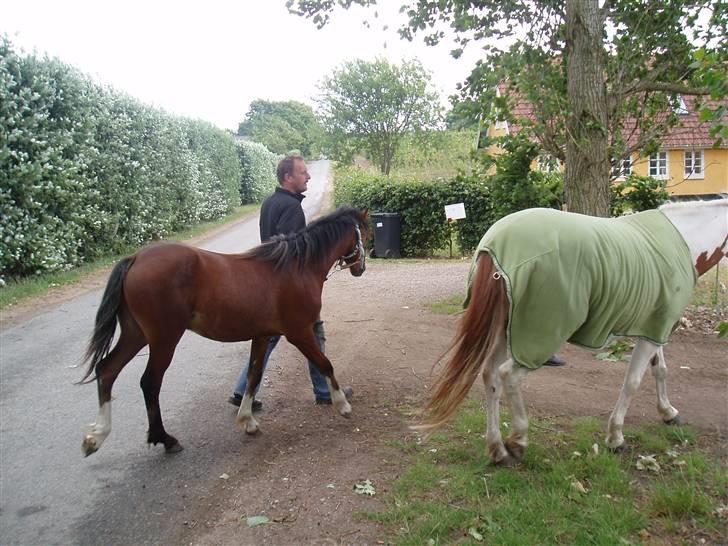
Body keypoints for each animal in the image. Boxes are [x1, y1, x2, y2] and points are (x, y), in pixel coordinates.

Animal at [79, 205, 370, 454]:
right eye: (365, 233)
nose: (361, 268)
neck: (296, 267)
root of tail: (136, 258)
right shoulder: (299, 332)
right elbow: (324, 363)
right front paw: (342, 404)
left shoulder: (263, 336)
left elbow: (253, 375)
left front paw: (247, 420)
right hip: (163, 339)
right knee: (149, 383)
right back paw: (165, 439)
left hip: (135, 334)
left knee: (107, 370)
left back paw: (97, 435)